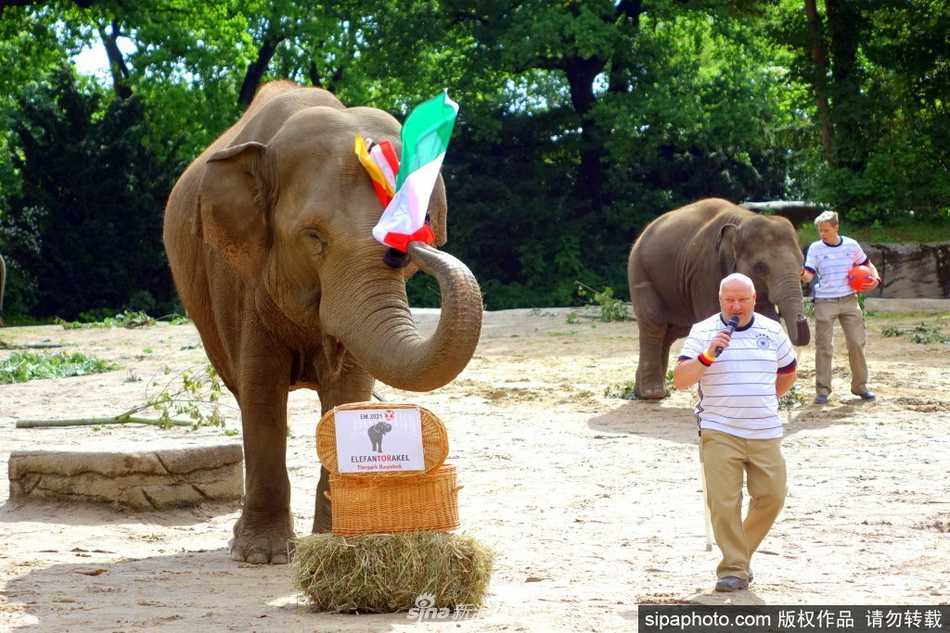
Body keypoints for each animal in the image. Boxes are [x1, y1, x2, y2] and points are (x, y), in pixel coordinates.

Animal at [162, 81, 483, 564]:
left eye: (422, 222)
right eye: (314, 237)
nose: (410, 248)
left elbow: (348, 388)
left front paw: (337, 537)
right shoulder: (237, 276)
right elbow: (261, 386)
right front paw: (262, 556)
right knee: (241, 389)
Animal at [628, 198, 811, 399]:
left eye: (802, 267)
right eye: (761, 267)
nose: (802, 316)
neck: (743, 220)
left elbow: (767, 318)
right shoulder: (704, 272)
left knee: (671, 332)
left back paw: (646, 392)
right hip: (641, 274)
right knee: (655, 324)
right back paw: (653, 394)